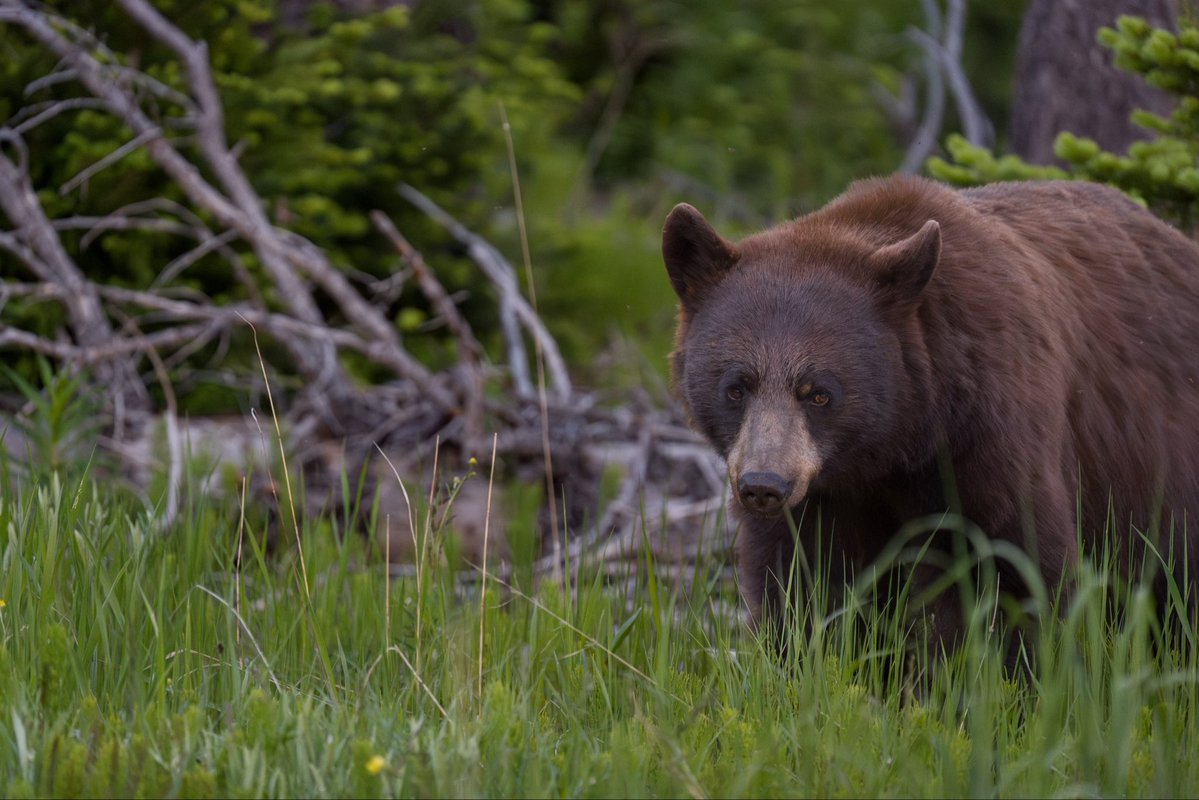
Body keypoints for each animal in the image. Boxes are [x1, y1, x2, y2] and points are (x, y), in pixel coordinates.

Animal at [662, 175, 1199, 651]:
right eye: (736, 387)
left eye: (818, 393)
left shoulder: (990, 438)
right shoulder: (821, 503)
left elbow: (1024, 570)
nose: (763, 485)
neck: (894, 446)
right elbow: (802, 588)